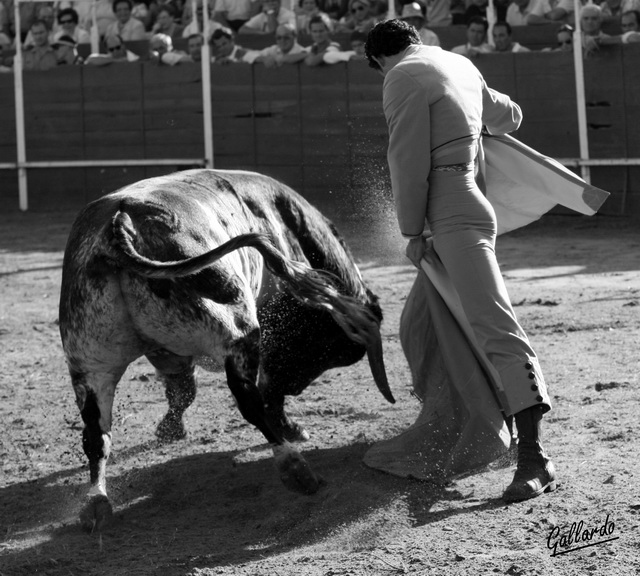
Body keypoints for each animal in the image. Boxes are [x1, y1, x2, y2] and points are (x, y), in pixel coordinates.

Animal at [60, 168, 398, 532]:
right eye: (322, 347)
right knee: (249, 399)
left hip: (90, 363)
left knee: (96, 435)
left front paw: (170, 429)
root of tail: (121, 222)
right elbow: (266, 391)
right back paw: (294, 466)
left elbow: (182, 390)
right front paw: (290, 427)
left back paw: (96, 501)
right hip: (236, 330)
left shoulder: (167, 354)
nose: (296, 386)